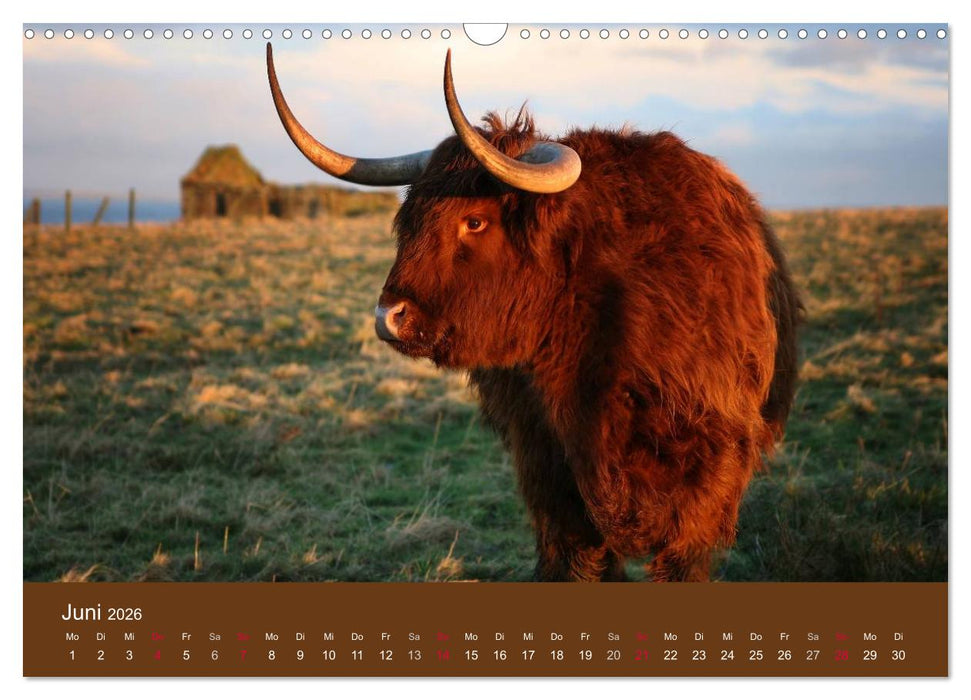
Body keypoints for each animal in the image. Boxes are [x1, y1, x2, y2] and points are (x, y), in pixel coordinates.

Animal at [266, 44, 802, 582]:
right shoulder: (546, 465)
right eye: (409, 220)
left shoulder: (707, 472)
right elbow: (572, 559)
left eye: (474, 221)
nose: (389, 317)